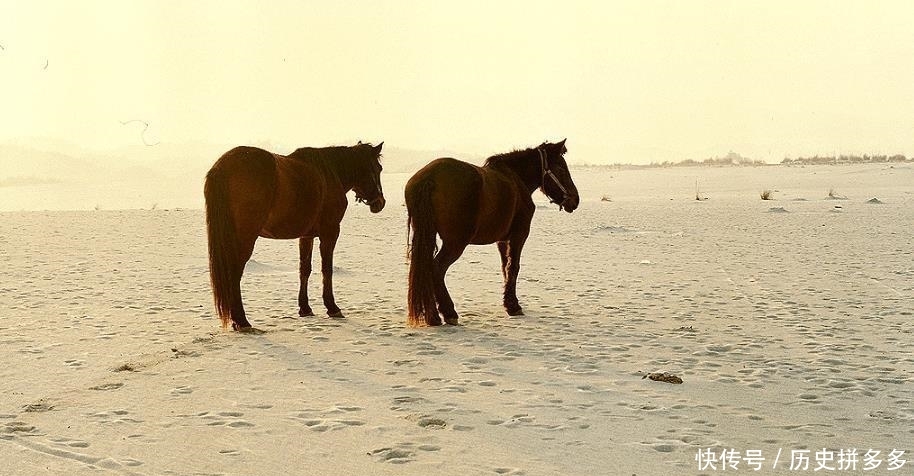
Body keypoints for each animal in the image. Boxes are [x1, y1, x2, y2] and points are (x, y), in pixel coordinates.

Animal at [203, 143, 384, 330]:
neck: (328, 173)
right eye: (378, 169)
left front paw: (305, 308)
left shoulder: (306, 236)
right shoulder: (330, 232)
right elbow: (327, 269)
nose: (380, 202)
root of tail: (223, 166)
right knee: (234, 272)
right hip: (244, 239)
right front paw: (332, 307)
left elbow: (304, 269)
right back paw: (242, 321)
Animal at [404, 140, 576, 328]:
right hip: (455, 243)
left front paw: (508, 302)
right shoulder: (519, 235)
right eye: (561, 168)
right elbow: (513, 267)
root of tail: (429, 178)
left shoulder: (501, 240)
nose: (575, 199)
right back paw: (447, 313)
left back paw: (432, 316)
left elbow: (505, 267)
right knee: (437, 269)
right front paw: (513, 306)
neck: (515, 179)